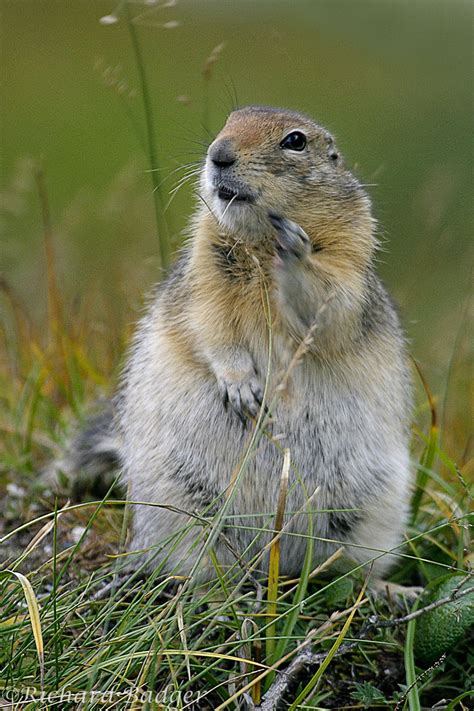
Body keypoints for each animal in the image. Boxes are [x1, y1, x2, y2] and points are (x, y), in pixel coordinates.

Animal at [54, 104, 414, 584]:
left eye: (295, 141)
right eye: (230, 119)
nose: (218, 153)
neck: (260, 243)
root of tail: (276, 557)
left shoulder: (350, 258)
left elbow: (332, 306)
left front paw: (296, 249)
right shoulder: (203, 271)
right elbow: (210, 325)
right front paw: (241, 388)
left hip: (375, 508)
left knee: (348, 571)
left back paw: (384, 589)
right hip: (178, 504)